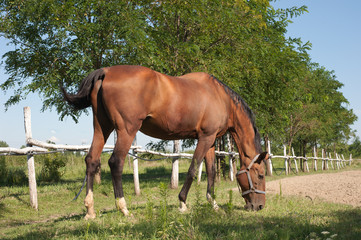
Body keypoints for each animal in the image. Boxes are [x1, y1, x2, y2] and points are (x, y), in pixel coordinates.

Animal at [60, 64, 266, 218]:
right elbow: (193, 169)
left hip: (102, 128)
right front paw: (182, 203)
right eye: (261, 175)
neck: (220, 97)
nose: (260, 206)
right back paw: (124, 208)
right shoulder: (205, 138)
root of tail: (106, 72)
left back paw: (90, 211)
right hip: (126, 130)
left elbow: (211, 171)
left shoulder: (211, 140)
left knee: (92, 160)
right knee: (115, 162)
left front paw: (213, 203)